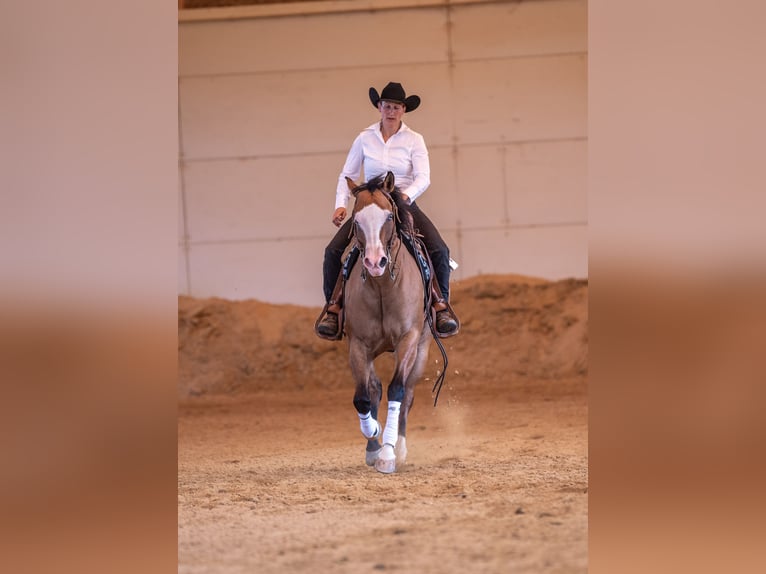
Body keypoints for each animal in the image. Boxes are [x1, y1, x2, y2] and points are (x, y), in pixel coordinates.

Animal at [344, 172, 438, 476]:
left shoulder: (409, 338)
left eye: (387, 216)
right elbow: (363, 396)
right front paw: (373, 439)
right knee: (373, 388)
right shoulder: (358, 344)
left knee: (407, 393)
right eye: (356, 220)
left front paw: (388, 453)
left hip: (421, 350)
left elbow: (397, 389)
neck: (383, 284)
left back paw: (401, 446)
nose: (375, 262)